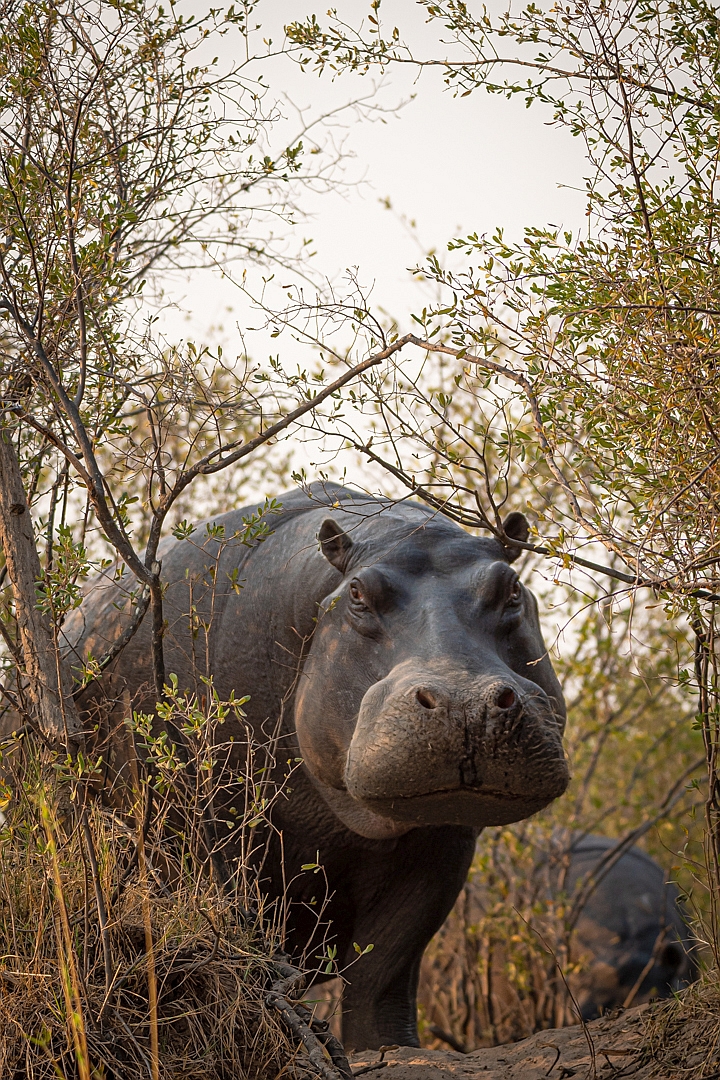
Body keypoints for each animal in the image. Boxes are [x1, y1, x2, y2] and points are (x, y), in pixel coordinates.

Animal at [64, 486, 569, 1049]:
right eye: (358, 595)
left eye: (511, 589)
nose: (466, 703)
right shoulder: (206, 831)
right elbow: (243, 942)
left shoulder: (443, 841)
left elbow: (381, 973)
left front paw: (387, 1050)